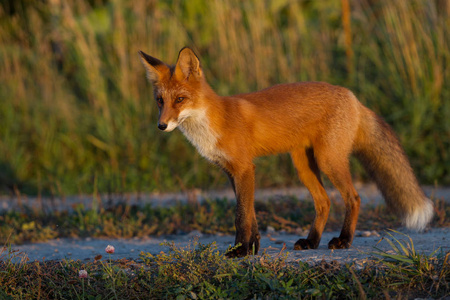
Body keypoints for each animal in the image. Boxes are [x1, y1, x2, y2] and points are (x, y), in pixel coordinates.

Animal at [138, 47, 432, 258]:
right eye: (160, 101)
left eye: (180, 100)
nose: (161, 125)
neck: (213, 121)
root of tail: (351, 95)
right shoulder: (232, 172)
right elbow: (251, 215)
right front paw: (252, 248)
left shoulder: (245, 168)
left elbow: (241, 216)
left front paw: (240, 250)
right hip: (303, 165)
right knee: (324, 202)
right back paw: (312, 241)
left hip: (328, 161)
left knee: (354, 197)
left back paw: (344, 240)